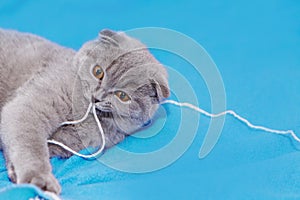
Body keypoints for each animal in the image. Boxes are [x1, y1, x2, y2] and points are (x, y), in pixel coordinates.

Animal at [0, 28, 169, 194]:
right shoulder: (30, 106)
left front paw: (14, 170)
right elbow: (31, 144)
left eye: (122, 96)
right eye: (98, 71)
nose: (97, 97)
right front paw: (40, 180)